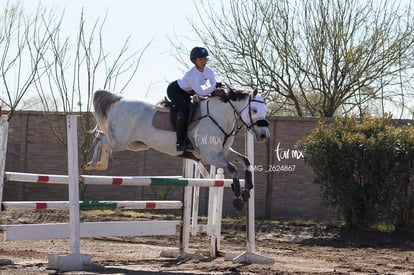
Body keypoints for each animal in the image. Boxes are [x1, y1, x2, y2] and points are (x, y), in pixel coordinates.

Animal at [84, 87, 272, 211]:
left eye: (265, 110)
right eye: (254, 110)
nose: (264, 135)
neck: (220, 117)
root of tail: (121, 100)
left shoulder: (224, 152)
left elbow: (246, 161)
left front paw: (247, 190)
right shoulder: (209, 155)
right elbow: (232, 168)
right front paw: (239, 199)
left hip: (135, 144)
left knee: (103, 138)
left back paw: (99, 165)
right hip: (120, 141)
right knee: (99, 137)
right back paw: (93, 165)